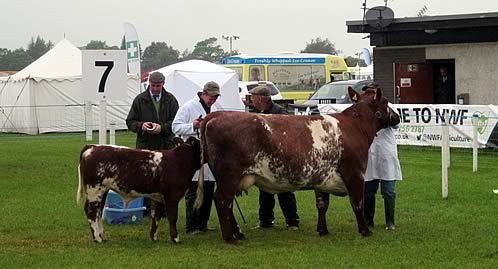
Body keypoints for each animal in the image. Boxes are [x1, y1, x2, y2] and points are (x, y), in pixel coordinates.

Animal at [196, 87, 398, 242]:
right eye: (386, 101)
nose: (396, 117)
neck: (355, 127)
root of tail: (215, 115)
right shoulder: (355, 174)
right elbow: (357, 203)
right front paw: (365, 230)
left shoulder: (322, 177)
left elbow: (322, 204)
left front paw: (323, 230)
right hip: (229, 176)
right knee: (222, 200)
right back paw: (230, 237)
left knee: (227, 203)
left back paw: (238, 233)